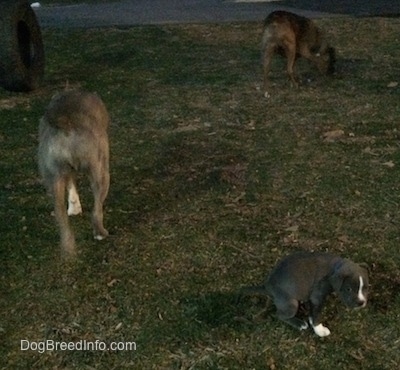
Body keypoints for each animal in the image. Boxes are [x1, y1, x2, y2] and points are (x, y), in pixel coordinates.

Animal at [38, 90, 110, 258]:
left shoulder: (65, 174)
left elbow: (71, 188)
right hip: (101, 171)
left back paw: (68, 248)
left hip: (53, 179)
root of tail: (65, 121)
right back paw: (100, 233)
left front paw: (74, 208)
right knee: (96, 211)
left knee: (60, 215)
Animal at [238, 253, 368, 336]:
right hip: (291, 304)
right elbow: (317, 314)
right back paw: (299, 323)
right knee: (280, 315)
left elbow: (312, 310)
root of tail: (267, 286)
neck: (334, 268)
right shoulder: (317, 297)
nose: (361, 303)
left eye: (365, 288)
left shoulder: (312, 297)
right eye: (348, 289)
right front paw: (319, 330)